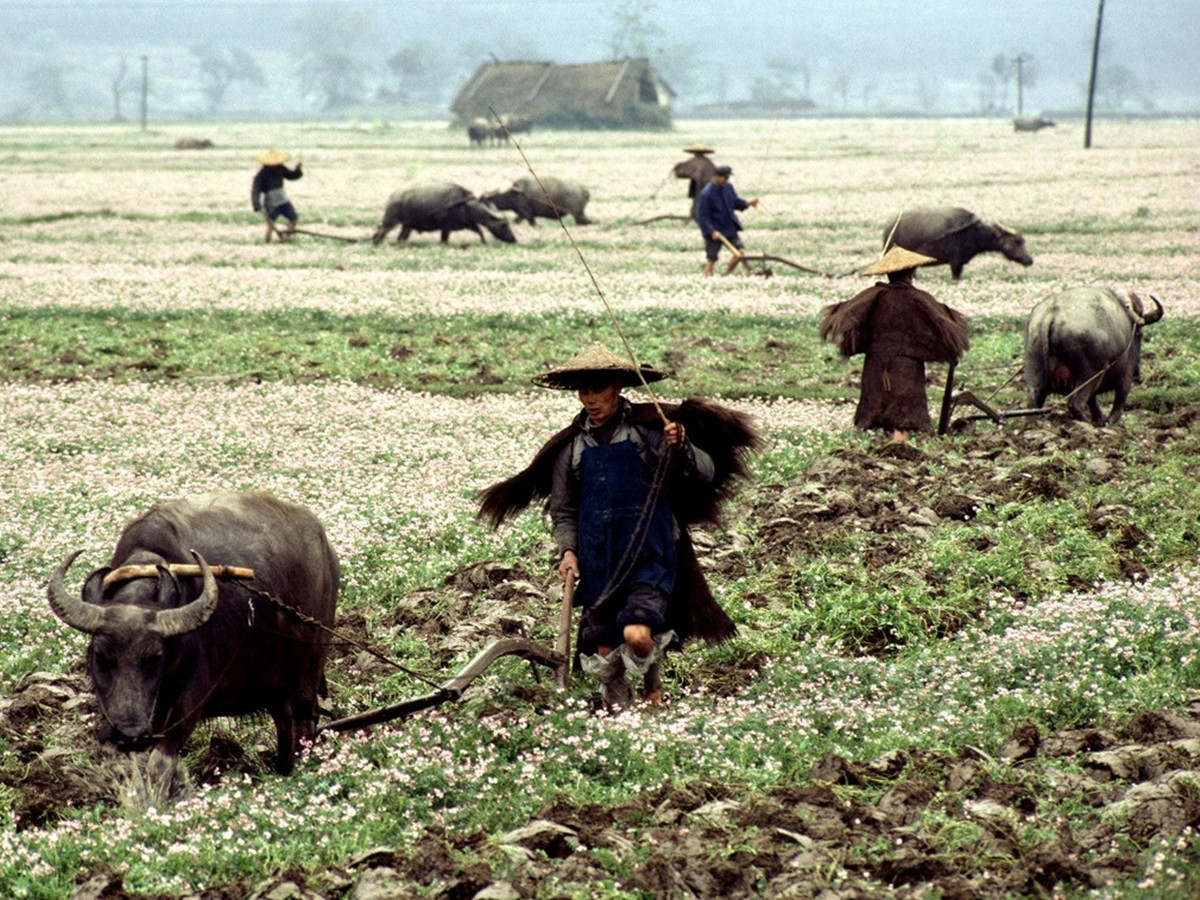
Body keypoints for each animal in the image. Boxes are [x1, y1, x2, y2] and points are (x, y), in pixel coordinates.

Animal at [45, 494, 338, 777]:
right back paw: (282, 771)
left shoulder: (190, 701)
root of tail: (327, 550)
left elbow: (161, 761)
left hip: (309, 668)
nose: (128, 734)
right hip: (273, 682)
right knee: (284, 720)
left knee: (305, 718)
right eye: (101, 655)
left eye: (156, 657)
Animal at [372, 183, 518, 247]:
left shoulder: (468, 224)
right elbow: (444, 240)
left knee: (400, 238)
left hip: (407, 226)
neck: (466, 206)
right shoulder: (446, 228)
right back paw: (376, 243)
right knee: (380, 233)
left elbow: (480, 231)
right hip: (391, 221)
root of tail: (393, 197)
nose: (514, 240)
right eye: (504, 225)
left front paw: (484, 242)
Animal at [883, 207, 1032, 280]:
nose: (1030, 260)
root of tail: (889, 228)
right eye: (1017, 241)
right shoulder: (955, 262)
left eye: (1023, 241)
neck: (973, 234)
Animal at [1022, 289, 1161, 429]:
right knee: (1075, 404)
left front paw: (1099, 419)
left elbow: (1093, 402)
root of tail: (1050, 315)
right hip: (1090, 374)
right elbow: (1118, 403)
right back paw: (1086, 422)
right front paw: (1107, 421)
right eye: (1140, 334)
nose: (1138, 374)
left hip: (1035, 368)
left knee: (1032, 400)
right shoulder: (1126, 377)